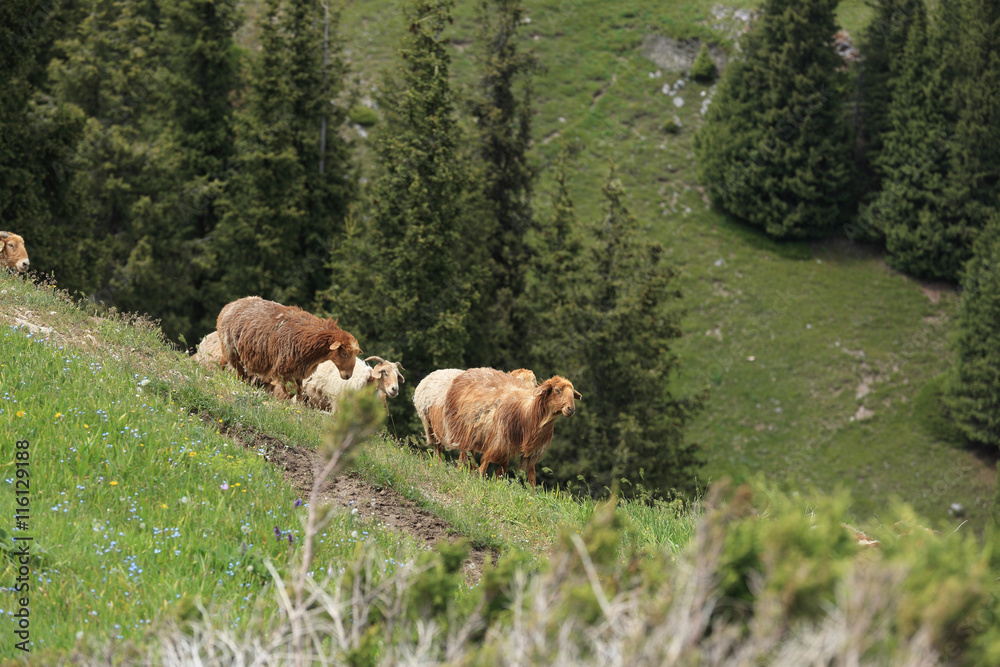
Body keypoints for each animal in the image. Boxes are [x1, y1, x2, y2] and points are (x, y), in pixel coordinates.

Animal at [217, 296, 361, 399]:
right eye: (344, 353)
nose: (348, 376)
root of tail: (229, 305)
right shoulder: (283, 371)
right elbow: (290, 393)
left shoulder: (298, 372)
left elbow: (299, 393)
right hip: (232, 350)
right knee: (238, 372)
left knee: (226, 364)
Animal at [441, 367, 581, 485]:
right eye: (557, 390)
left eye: (572, 394)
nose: (571, 409)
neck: (528, 413)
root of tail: (469, 371)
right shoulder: (498, 442)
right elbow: (485, 463)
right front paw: (480, 481)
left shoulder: (531, 453)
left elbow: (530, 476)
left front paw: (532, 494)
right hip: (464, 431)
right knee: (464, 458)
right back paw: (460, 472)